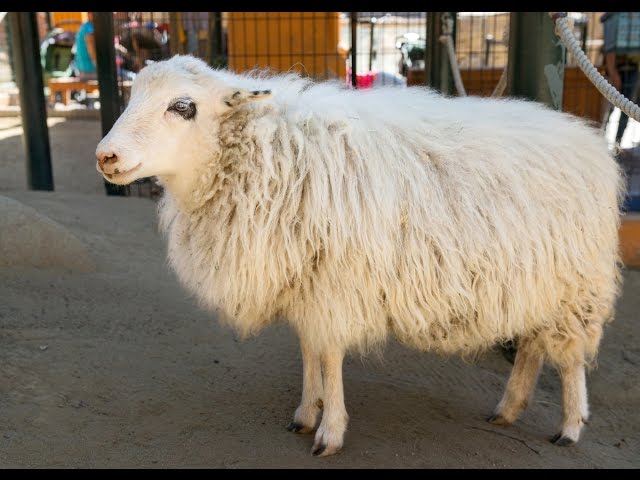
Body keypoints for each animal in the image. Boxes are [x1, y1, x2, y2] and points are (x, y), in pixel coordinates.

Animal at [96, 55, 625, 457]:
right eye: (132, 95)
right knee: (534, 345)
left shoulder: (334, 285)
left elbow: (329, 356)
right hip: (537, 281)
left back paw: (570, 426)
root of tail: (588, 140)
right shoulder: (306, 284)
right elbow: (309, 350)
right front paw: (305, 414)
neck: (271, 154)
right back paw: (508, 409)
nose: (106, 157)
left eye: (183, 106)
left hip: (574, 283)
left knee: (570, 359)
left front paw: (329, 432)